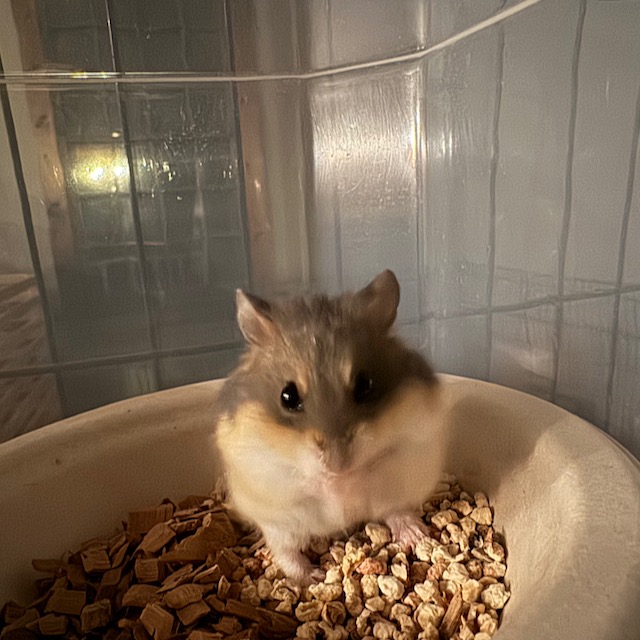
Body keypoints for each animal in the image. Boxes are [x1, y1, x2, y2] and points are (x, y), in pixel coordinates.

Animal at [213, 270, 446, 582]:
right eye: (287, 396)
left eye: (365, 385)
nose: (338, 466)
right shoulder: (265, 469)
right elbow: (311, 481)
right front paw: (334, 484)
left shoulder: (412, 445)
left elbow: (371, 471)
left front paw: (348, 484)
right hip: (280, 526)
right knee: (286, 553)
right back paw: (313, 576)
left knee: (394, 511)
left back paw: (418, 536)